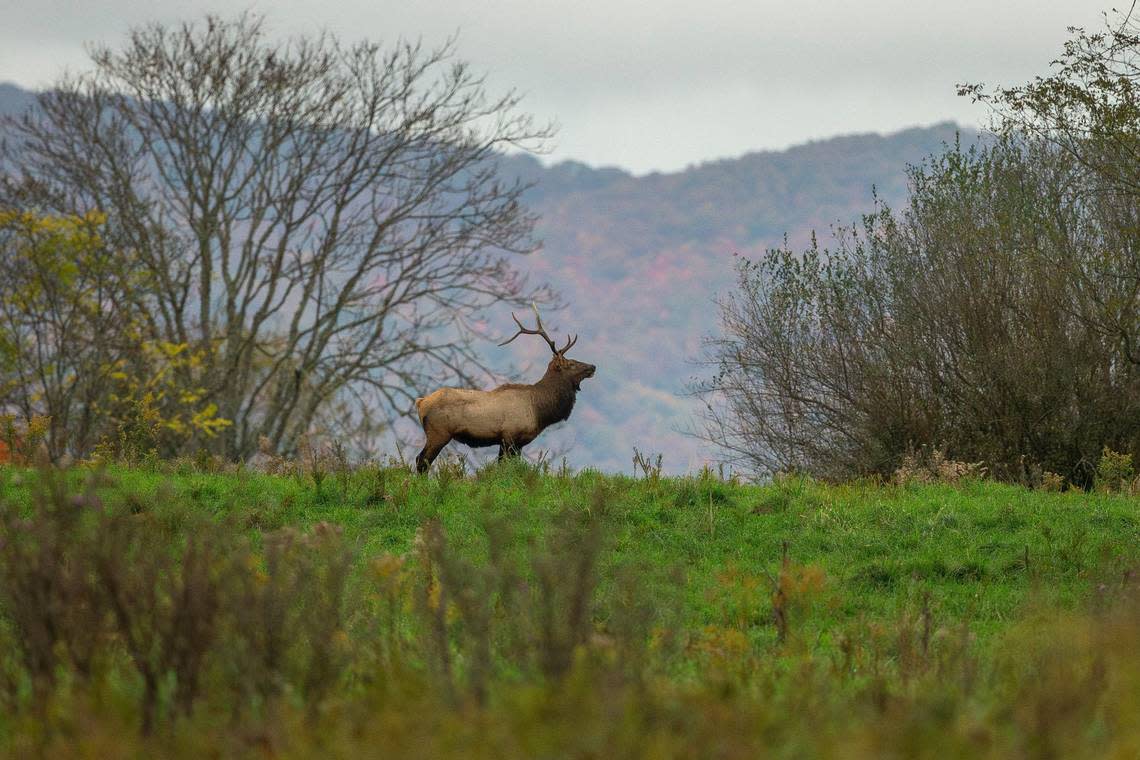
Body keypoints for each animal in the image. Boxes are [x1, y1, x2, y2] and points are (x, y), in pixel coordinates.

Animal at [417, 305, 597, 471]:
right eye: (571, 363)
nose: (593, 366)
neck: (539, 411)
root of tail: (421, 402)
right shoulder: (509, 436)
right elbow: (504, 467)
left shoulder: (519, 443)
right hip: (438, 433)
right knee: (422, 461)